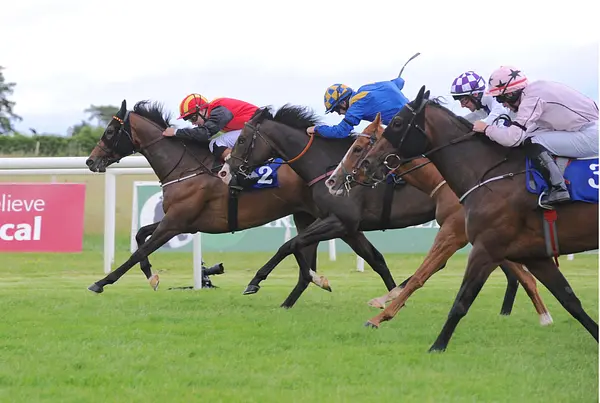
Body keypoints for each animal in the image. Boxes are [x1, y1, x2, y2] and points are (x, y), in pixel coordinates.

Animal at [358, 86, 598, 352]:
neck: (490, 174)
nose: (366, 164)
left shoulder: (482, 246)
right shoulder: (532, 254)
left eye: (398, 122)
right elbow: (569, 300)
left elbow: (456, 298)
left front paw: (435, 346)